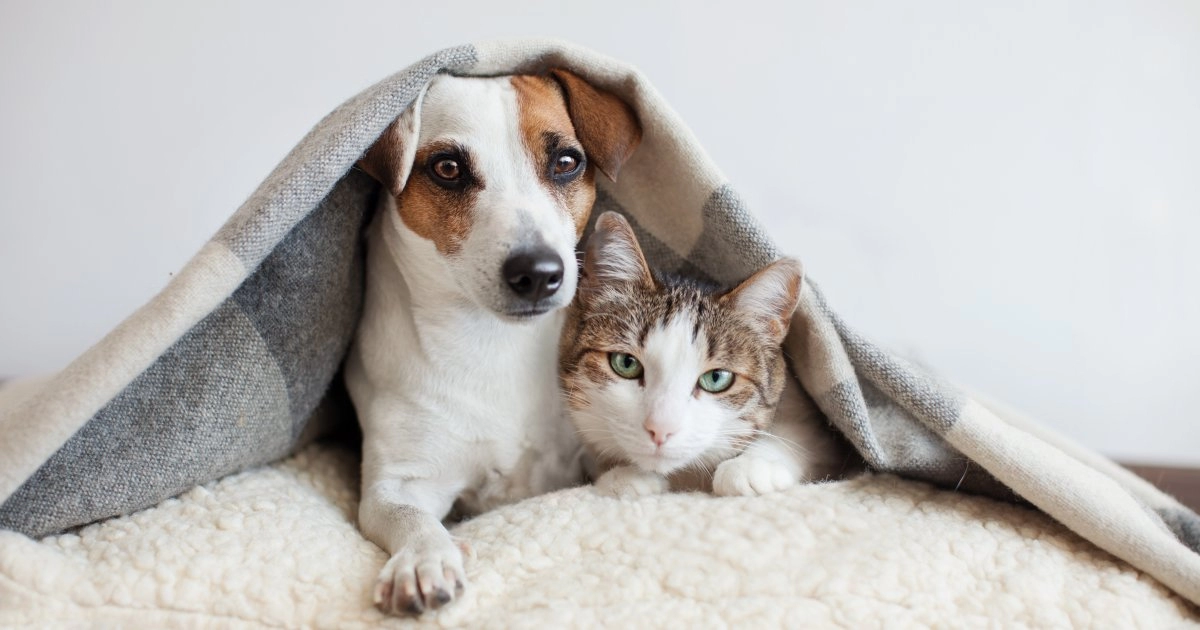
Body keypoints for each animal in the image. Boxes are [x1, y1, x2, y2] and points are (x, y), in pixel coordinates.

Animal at [343, 69, 643, 614]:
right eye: (447, 168)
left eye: (566, 162)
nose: (539, 273)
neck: (494, 343)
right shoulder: (396, 483)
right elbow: (409, 518)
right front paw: (423, 559)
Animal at [556, 211, 849, 496]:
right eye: (626, 363)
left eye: (717, 378)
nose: (660, 429)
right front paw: (625, 475)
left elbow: (801, 435)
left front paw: (751, 465)